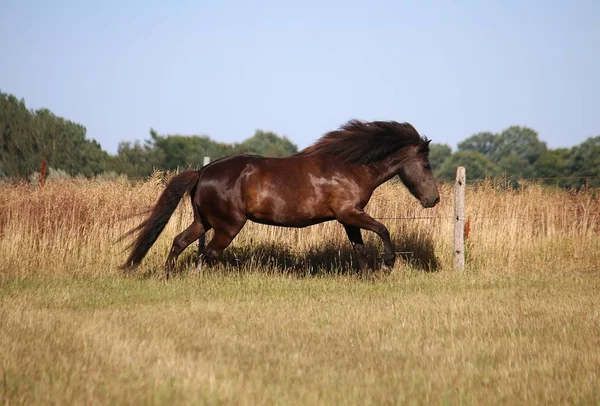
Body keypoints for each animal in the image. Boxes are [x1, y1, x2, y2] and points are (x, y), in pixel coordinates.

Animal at [122, 119, 440, 280]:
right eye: (426, 165)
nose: (434, 199)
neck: (350, 168)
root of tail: (202, 172)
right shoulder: (350, 213)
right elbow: (384, 230)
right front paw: (387, 264)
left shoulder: (349, 218)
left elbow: (359, 248)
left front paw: (367, 278)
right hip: (228, 225)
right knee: (209, 254)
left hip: (204, 222)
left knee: (180, 243)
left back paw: (168, 277)